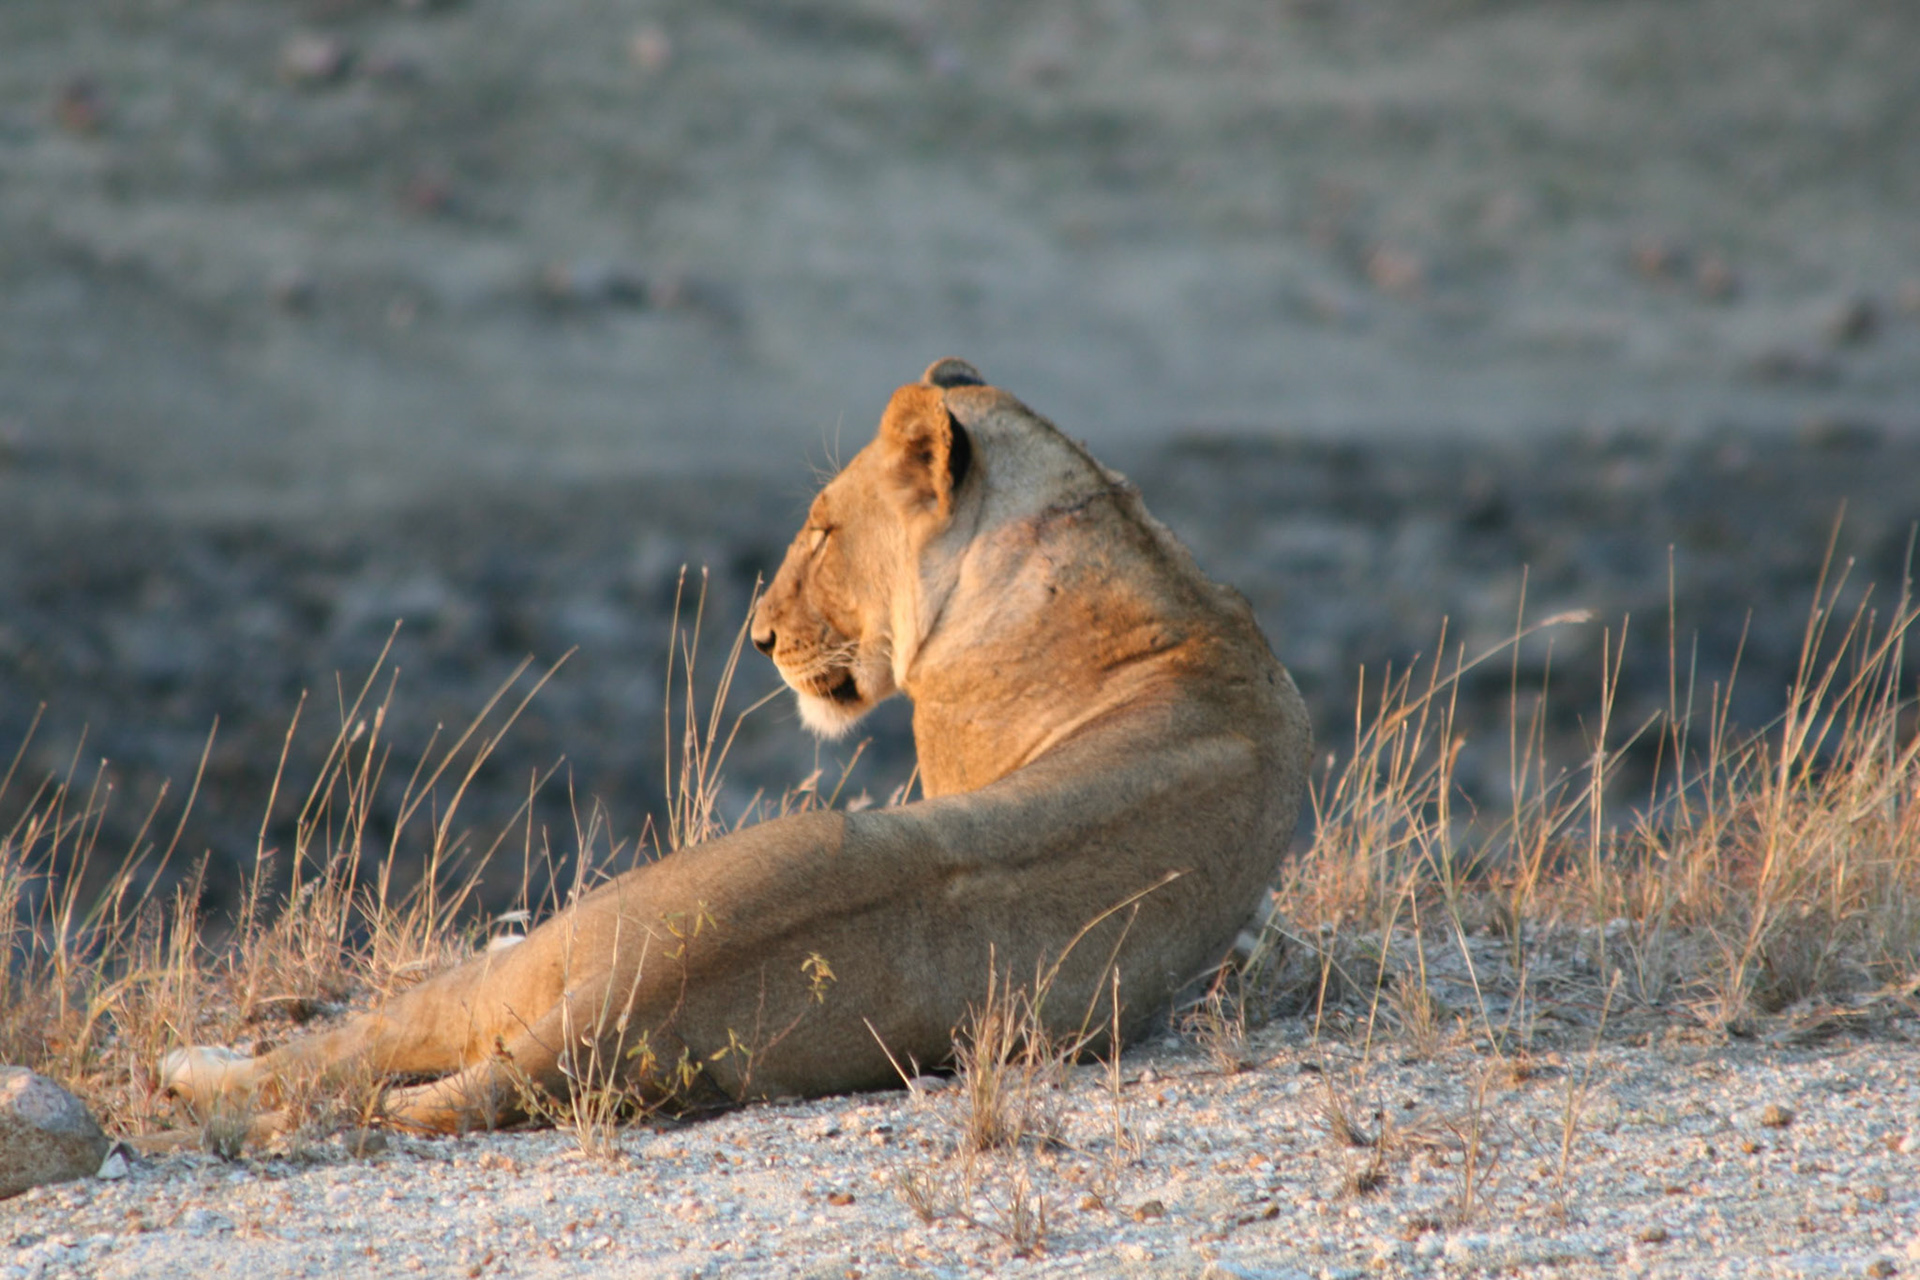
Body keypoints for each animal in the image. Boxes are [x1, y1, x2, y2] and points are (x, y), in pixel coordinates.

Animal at [163, 358, 1312, 1134]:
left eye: (822, 530)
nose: (756, 634)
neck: (1107, 537)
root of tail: (630, 995)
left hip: (517, 961)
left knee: (333, 1052)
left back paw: (190, 1068)